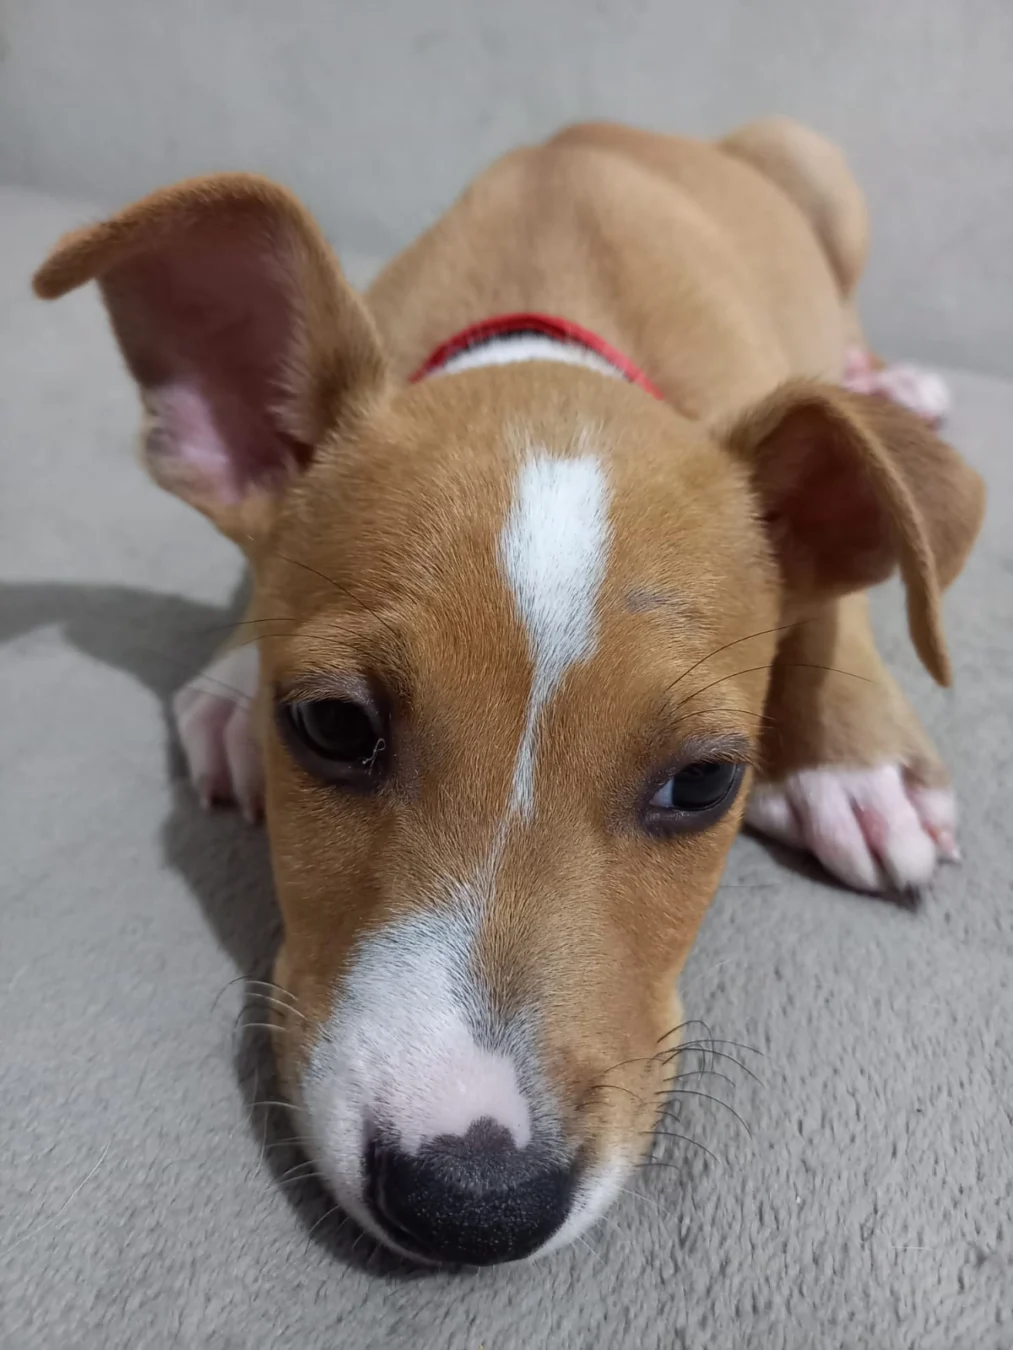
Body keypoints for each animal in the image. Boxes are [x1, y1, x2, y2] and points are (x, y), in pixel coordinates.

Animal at [37, 118, 983, 1263]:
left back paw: (897, 386)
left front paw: (854, 762)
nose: (472, 1207)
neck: (549, 341)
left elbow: (834, 604)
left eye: (705, 783)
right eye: (329, 726)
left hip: (812, 167)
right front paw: (227, 675)